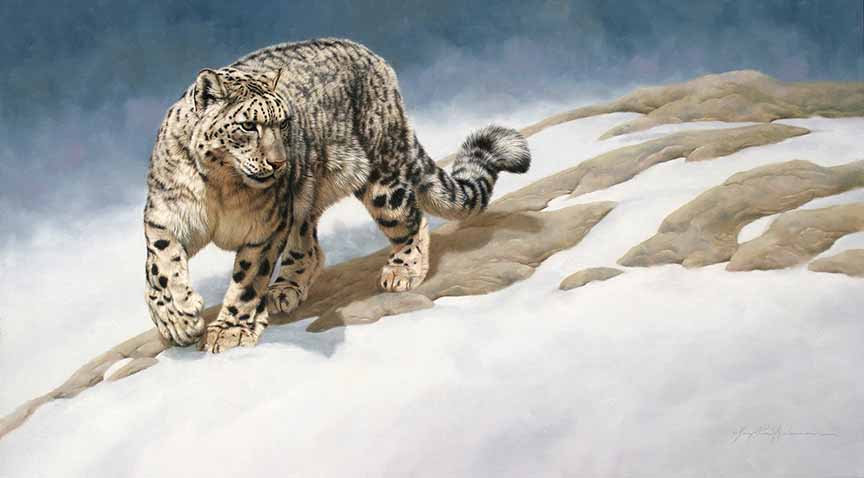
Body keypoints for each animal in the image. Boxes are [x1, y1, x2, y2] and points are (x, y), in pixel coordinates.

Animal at [143, 38, 531, 353]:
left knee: (410, 219)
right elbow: (160, 270)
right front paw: (179, 319)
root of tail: (372, 58)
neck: (220, 188)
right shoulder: (164, 219)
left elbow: (248, 280)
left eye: (284, 122)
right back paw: (285, 288)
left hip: (380, 181)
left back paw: (402, 270)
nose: (279, 162)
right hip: (303, 200)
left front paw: (230, 329)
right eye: (248, 125)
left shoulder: (264, 231)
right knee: (310, 246)